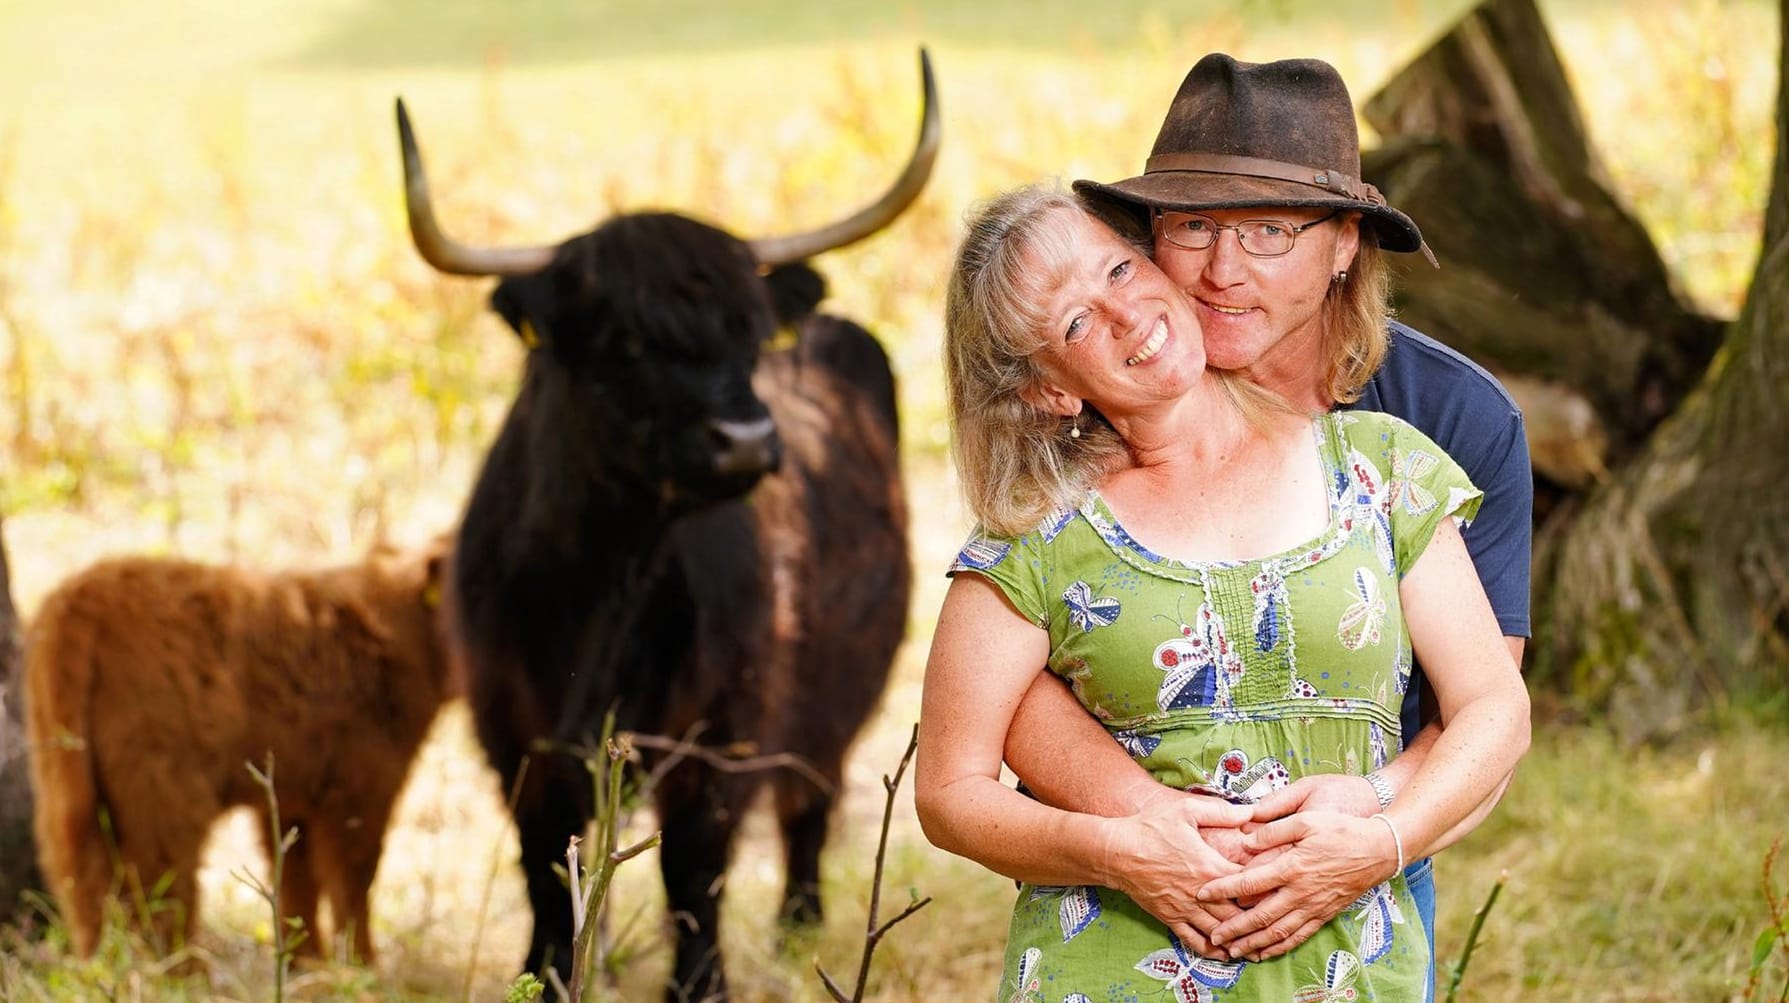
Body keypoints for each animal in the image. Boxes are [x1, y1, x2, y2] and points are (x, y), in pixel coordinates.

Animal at [26, 539, 454, 965]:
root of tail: (82, 590)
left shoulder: (291, 793)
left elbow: (294, 878)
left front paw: (303, 962)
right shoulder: (361, 789)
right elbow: (353, 884)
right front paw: (361, 966)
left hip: (64, 778)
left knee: (78, 874)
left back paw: (100, 966)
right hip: (163, 790)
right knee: (161, 885)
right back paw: (182, 971)